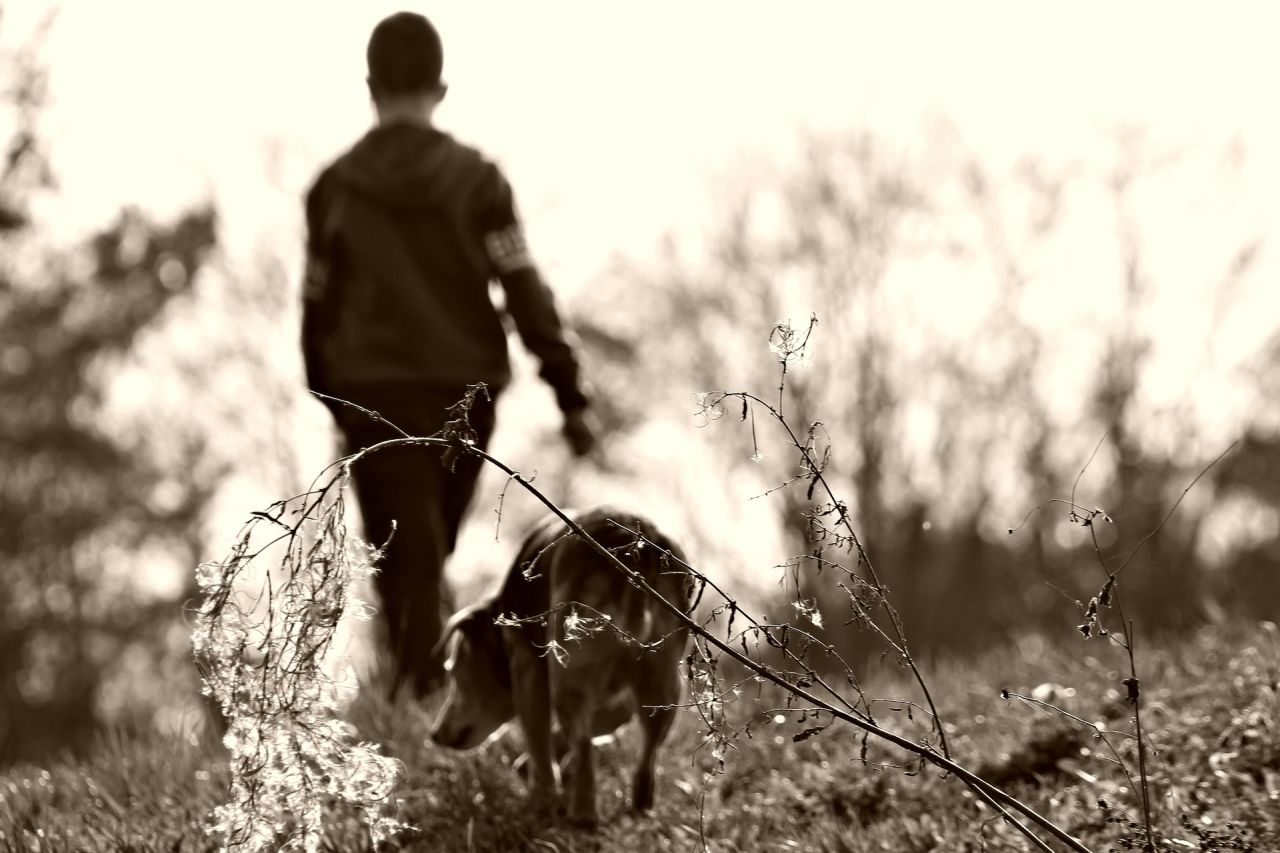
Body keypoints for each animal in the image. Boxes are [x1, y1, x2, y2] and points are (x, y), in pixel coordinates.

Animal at [427, 504, 691, 824]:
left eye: (453, 672)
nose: (435, 734)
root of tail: (640, 547)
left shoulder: (528, 668)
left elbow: (538, 738)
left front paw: (541, 796)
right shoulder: (623, 698)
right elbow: (604, 721)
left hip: (570, 671)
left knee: (583, 744)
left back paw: (582, 815)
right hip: (663, 683)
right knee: (646, 754)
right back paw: (640, 807)